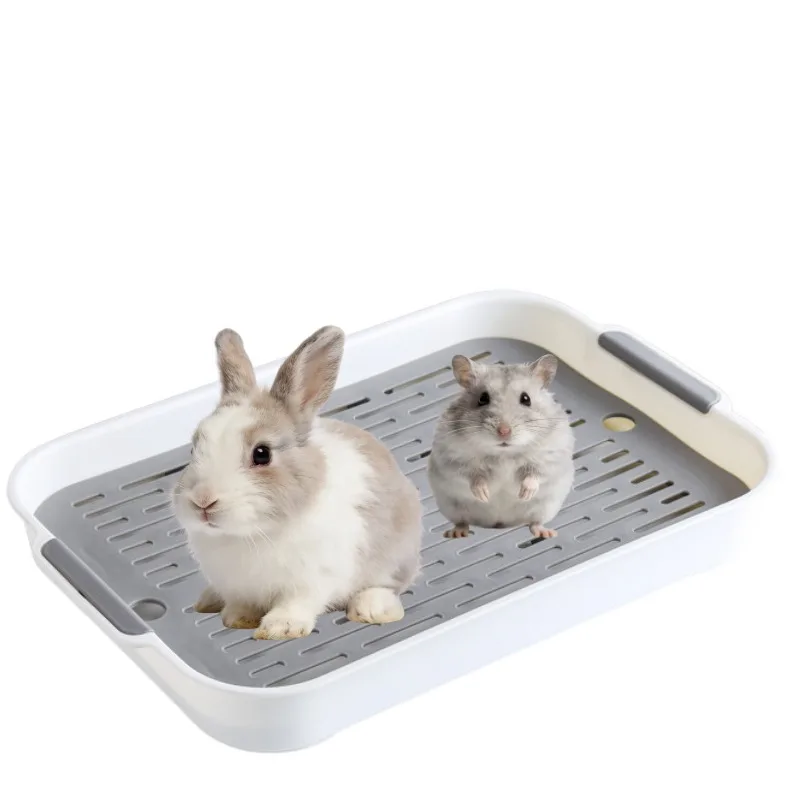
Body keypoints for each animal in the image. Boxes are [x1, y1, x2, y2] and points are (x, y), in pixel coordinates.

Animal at [172, 325, 422, 640]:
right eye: (194, 448)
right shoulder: (238, 587)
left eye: (262, 453)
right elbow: (241, 604)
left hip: (393, 557)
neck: (251, 534)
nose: (203, 500)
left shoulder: (312, 579)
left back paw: (370, 610)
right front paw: (239, 619)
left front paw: (280, 629)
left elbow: (297, 603)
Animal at [427, 353, 574, 540]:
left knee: (534, 522)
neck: (504, 453)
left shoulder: (550, 456)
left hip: (546, 507)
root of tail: (499, 523)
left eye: (526, 399)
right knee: (462, 521)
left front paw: (524, 494)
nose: (504, 432)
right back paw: (456, 533)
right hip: (452, 507)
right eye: (483, 398)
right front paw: (484, 495)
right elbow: (472, 476)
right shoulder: (454, 457)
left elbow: (535, 475)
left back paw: (547, 533)